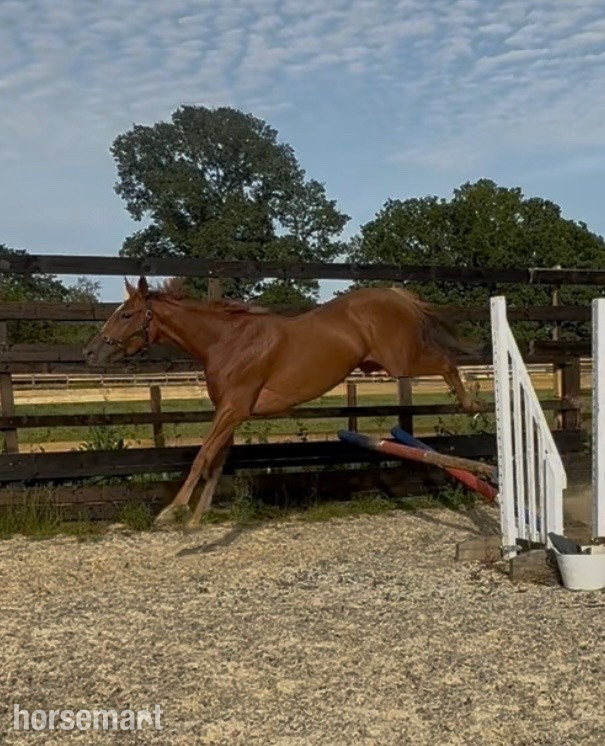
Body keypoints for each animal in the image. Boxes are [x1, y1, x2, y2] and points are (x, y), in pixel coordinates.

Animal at [83, 277, 480, 528]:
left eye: (126, 314)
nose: (90, 352)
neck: (227, 342)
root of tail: (395, 295)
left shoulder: (233, 409)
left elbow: (201, 456)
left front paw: (173, 511)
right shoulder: (230, 413)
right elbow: (215, 460)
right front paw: (197, 518)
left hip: (400, 363)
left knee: (448, 362)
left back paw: (471, 406)